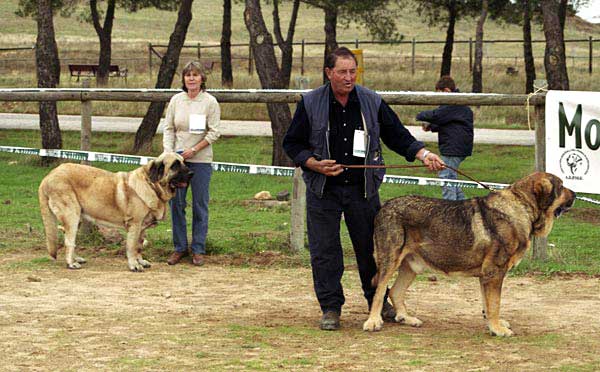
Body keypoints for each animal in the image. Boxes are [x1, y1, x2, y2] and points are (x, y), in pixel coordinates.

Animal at [38, 153, 193, 272]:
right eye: (175, 165)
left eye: (184, 162)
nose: (192, 173)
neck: (152, 185)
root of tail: (48, 176)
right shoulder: (135, 225)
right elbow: (131, 247)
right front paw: (134, 265)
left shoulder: (142, 228)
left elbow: (139, 247)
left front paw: (141, 261)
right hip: (72, 216)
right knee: (69, 242)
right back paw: (71, 263)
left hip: (77, 218)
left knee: (70, 239)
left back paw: (76, 258)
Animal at [360, 173, 576, 336]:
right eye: (561, 186)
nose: (574, 193)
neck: (521, 207)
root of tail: (385, 206)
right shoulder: (495, 272)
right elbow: (495, 303)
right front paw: (497, 329)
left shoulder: (486, 275)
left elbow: (488, 304)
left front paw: (493, 324)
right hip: (390, 261)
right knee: (379, 291)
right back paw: (373, 321)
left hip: (410, 266)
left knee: (395, 292)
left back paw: (407, 318)